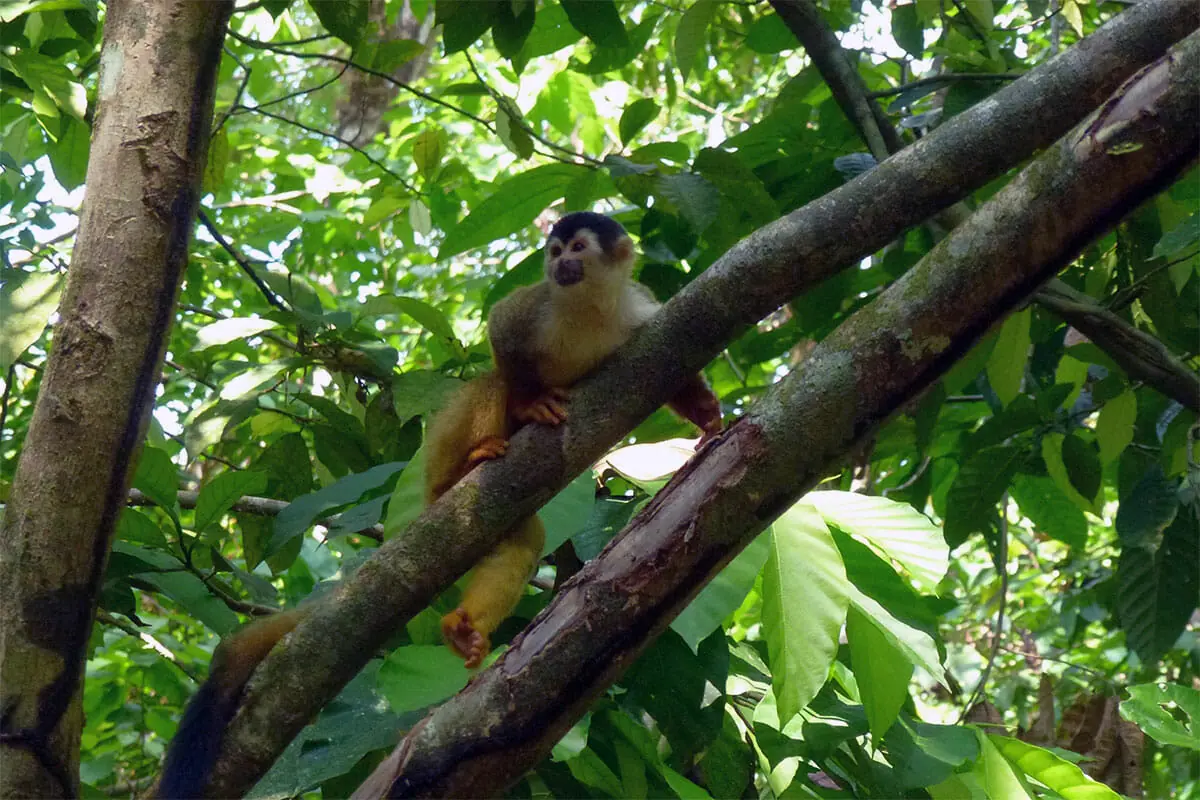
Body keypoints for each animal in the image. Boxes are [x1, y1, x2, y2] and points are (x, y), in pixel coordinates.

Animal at [153, 211, 715, 796]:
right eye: (555, 251)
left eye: (578, 249)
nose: (561, 265)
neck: (588, 304)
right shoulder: (537, 305)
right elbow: (502, 332)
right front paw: (530, 400)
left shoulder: (640, 314)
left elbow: (668, 368)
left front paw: (705, 411)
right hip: (447, 463)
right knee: (488, 383)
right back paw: (469, 464)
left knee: (522, 540)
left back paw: (464, 625)